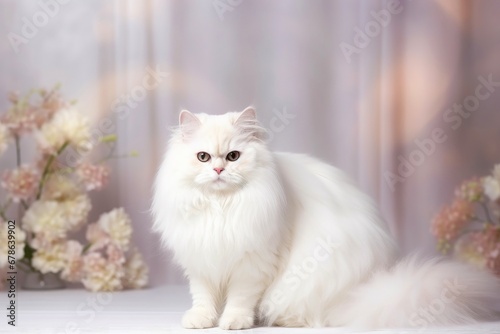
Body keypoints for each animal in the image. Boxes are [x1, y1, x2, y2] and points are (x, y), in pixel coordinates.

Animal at [153, 108, 500, 330]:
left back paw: (282, 320)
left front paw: (234, 322)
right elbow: (203, 298)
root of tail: (379, 284)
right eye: (203, 157)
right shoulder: (201, 261)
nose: (218, 170)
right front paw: (201, 320)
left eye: (233, 156)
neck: (221, 208)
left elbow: (240, 298)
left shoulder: (252, 264)